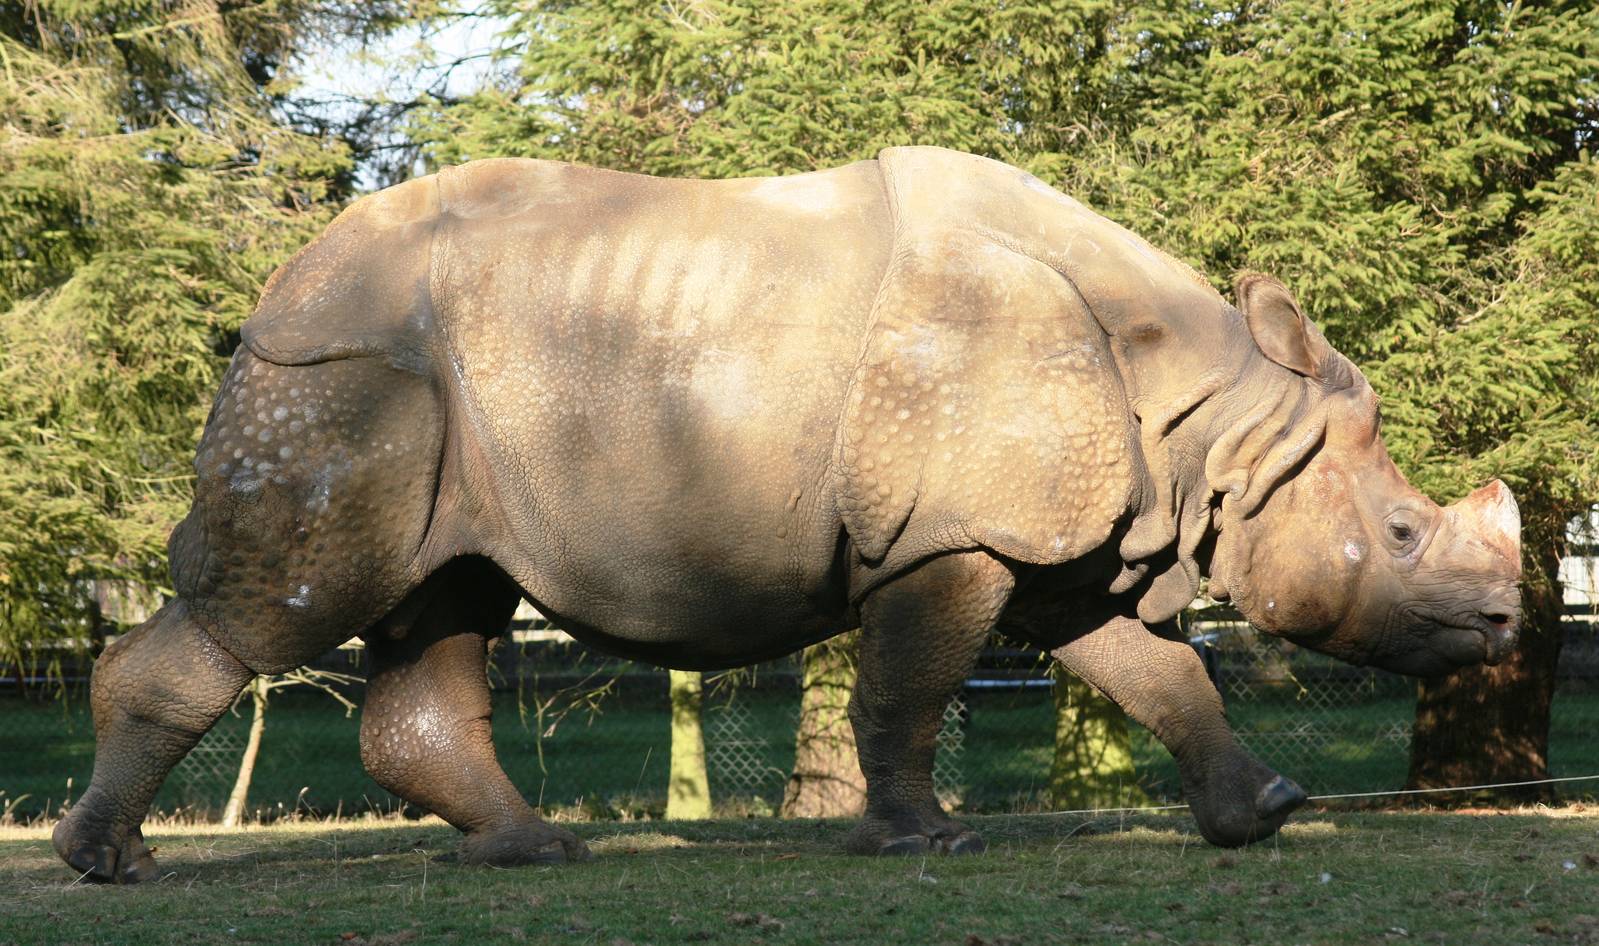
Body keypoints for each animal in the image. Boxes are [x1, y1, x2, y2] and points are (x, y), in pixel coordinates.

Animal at [54, 147, 1522, 883]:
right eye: (1401, 537)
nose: (1507, 619)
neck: (1210, 418)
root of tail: (278, 281)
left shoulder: (1065, 535)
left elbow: (1157, 672)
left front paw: (1263, 810)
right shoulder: (953, 528)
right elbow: (911, 683)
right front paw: (926, 842)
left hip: (437, 392)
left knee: (445, 599)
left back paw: (534, 851)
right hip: (343, 377)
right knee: (286, 607)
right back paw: (107, 862)